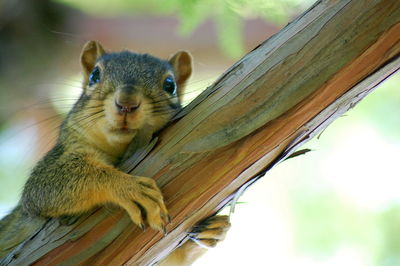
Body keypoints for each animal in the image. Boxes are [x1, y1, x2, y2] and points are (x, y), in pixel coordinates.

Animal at [0, 40, 231, 264]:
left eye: (170, 85)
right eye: (94, 75)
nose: (127, 102)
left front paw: (209, 231)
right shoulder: (44, 176)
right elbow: (45, 188)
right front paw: (128, 188)